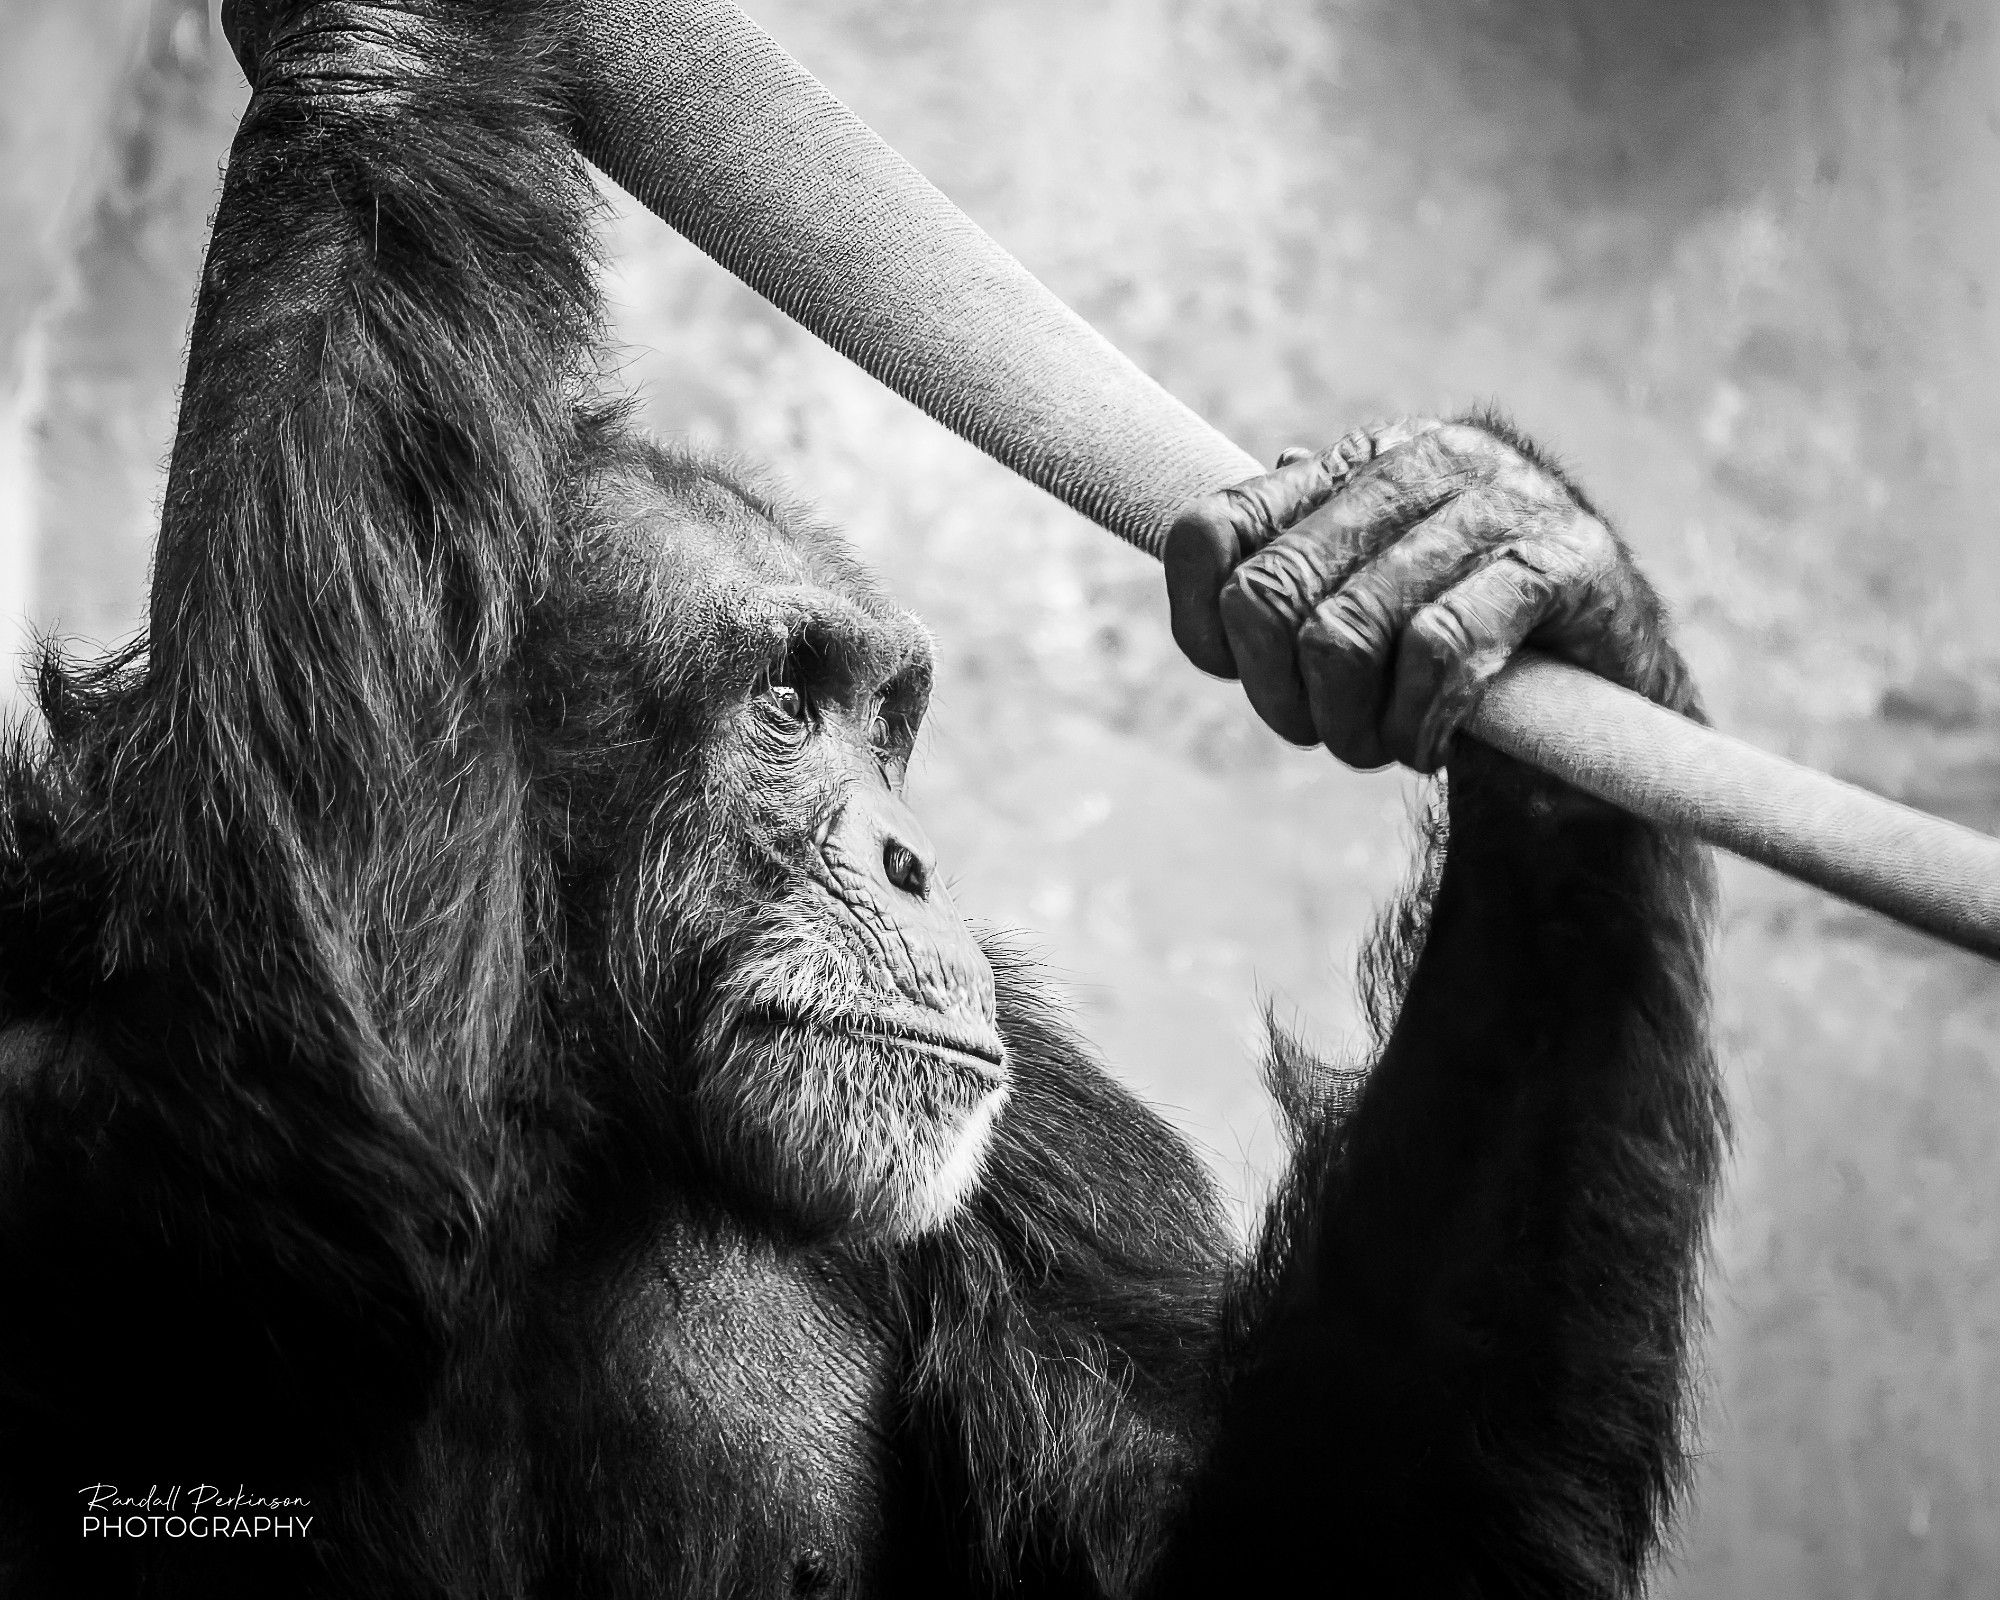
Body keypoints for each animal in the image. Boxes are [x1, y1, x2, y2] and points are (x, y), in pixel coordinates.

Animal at [0, 3, 1720, 1600]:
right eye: (784, 705)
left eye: (884, 727)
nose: (906, 858)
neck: (591, 1083)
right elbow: (320, 1076)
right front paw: (402, 45)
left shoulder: (1047, 1160)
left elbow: (1281, 1546)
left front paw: (1515, 598)